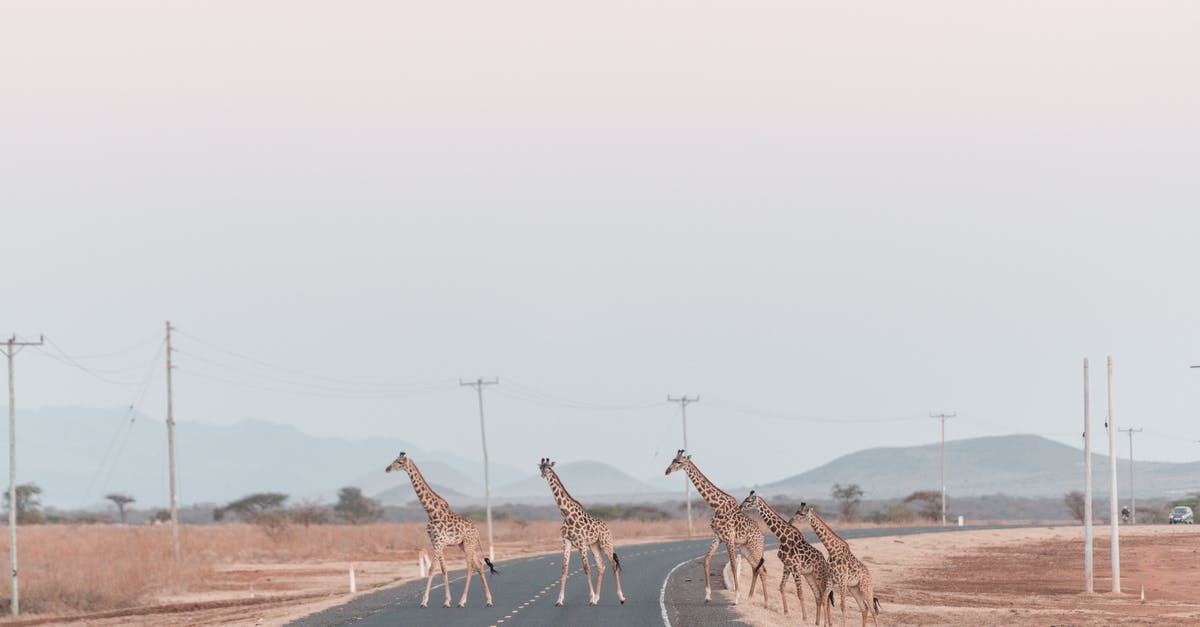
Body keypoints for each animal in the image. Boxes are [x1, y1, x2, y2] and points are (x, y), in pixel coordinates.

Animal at [384, 449, 496, 605]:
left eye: (399, 462)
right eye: (394, 460)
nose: (387, 469)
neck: (431, 512)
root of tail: (477, 531)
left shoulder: (439, 542)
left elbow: (431, 569)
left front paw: (424, 602)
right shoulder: (435, 542)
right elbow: (443, 569)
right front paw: (447, 601)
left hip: (468, 544)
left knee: (470, 566)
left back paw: (462, 601)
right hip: (464, 544)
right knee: (479, 564)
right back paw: (488, 600)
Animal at [537, 456, 624, 602]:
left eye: (548, 468)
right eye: (540, 467)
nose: (543, 475)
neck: (567, 514)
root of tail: (607, 528)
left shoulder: (581, 543)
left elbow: (586, 568)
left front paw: (591, 596)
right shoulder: (566, 542)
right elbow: (564, 569)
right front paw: (559, 600)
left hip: (605, 543)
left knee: (613, 563)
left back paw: (621, 597)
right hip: (594, 545)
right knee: (601, 566)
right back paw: (597, 599)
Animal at [662, 446, 772, 602]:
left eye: (678, 462)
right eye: (672, 460)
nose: (667, 471)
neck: (716, 506)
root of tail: (762, 535)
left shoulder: (729, 538)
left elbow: (733, 564)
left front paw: (736, 597)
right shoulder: (717, 537)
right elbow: (706, 559)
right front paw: (708, 595)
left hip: (755, 546)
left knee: (762, 569)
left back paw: (766, 601)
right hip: (744, 547)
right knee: (755, 568)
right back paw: (752, 598)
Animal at [739, 490, 835, 619]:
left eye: (749, 500)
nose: (740, 507)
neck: (783, 538)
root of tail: (825, 563)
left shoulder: (795, 568)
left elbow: (800, 593)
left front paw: (804, 618)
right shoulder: (787, 566)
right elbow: (782, 587)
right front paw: (786, 611)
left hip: (819, 575)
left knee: (826, 596)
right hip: (810, 575)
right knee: (820, 595)